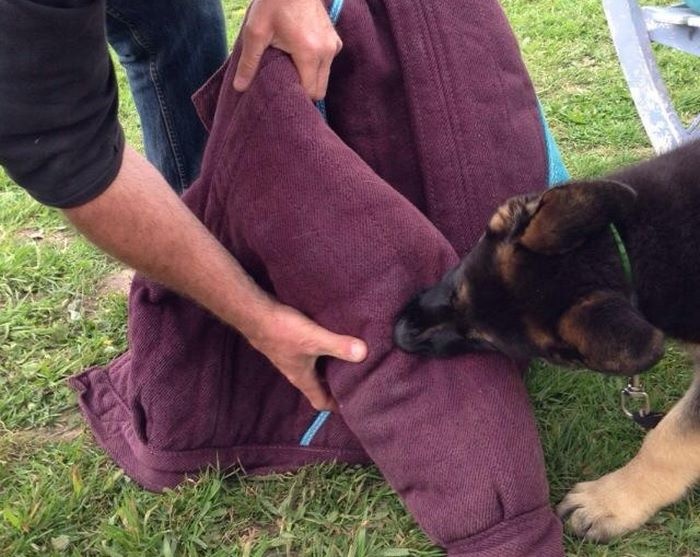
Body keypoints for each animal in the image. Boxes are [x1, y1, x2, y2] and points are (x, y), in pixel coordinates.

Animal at [394, 138, 700, 542]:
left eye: (486, 341)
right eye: (457, 291)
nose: (399, 334)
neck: (630, 250)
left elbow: (671, 441)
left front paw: (609, 502)